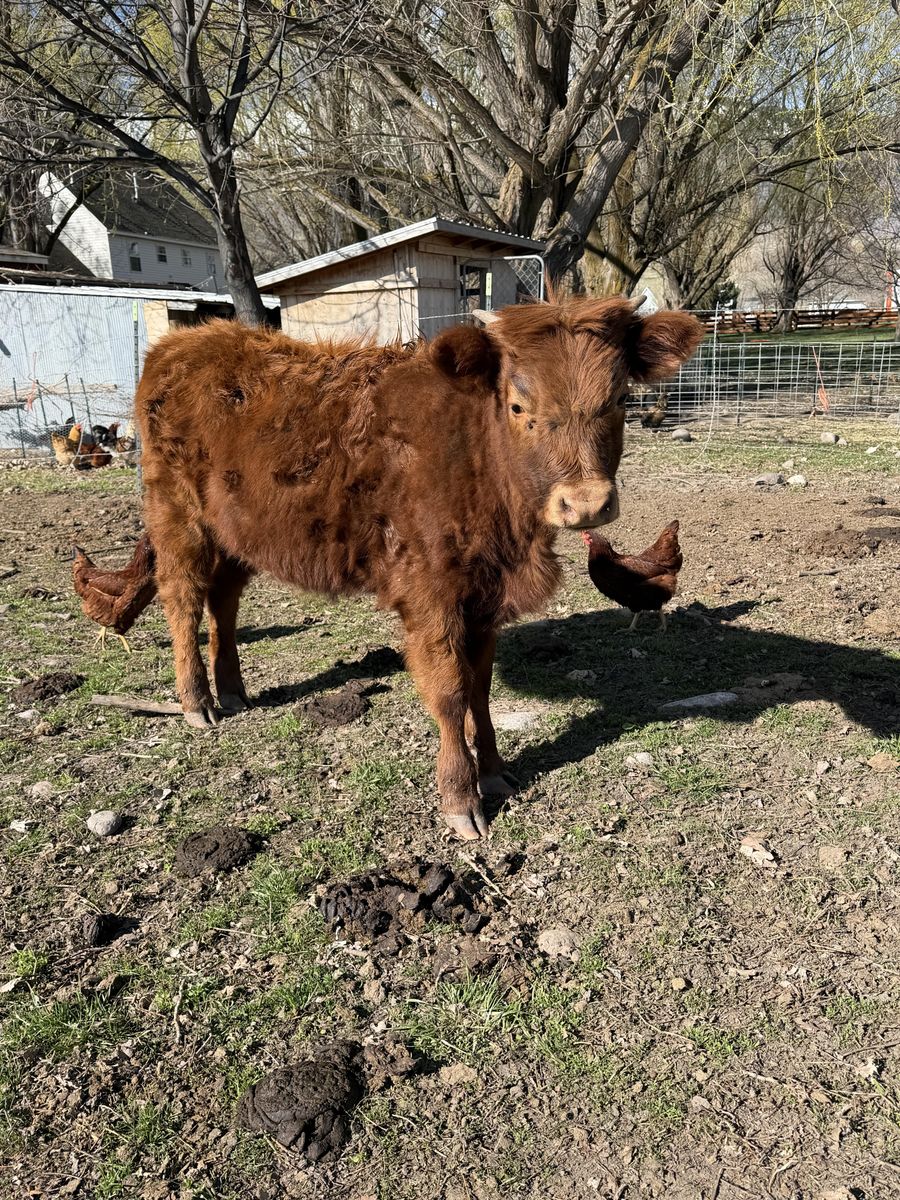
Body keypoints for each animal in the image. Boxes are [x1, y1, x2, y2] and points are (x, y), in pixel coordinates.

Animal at [114, 297, 703, 838]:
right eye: (517, 405)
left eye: (621, 398)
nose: (586, 504)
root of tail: (184, 342)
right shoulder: (431, 597)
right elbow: (449, 692)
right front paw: (462, 800)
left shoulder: (484, 599)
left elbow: (480, 686)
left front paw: (495, 774)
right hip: (178, 519)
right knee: (183, 600)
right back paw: (197, 702)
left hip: (235, 537)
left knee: (224, 603)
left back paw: (233, 691)